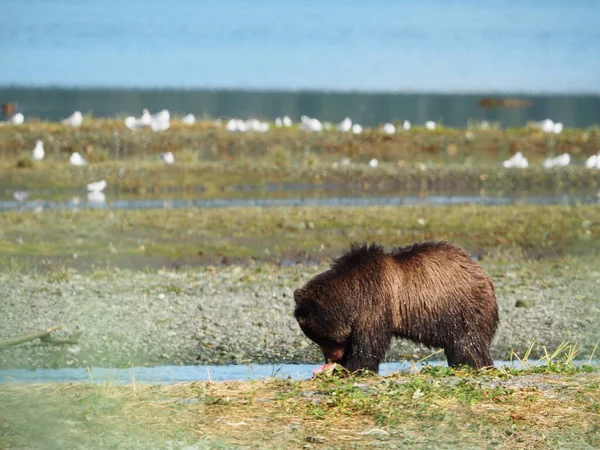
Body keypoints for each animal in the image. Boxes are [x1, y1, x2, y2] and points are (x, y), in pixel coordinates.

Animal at [294, 243, 496, 372]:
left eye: (320, 338)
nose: (331, 359)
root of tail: (484, 275)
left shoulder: (374, 302)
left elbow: (369, 345)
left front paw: (352, 367)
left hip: (462, 310)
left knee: (468, 346)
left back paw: (475, 365)